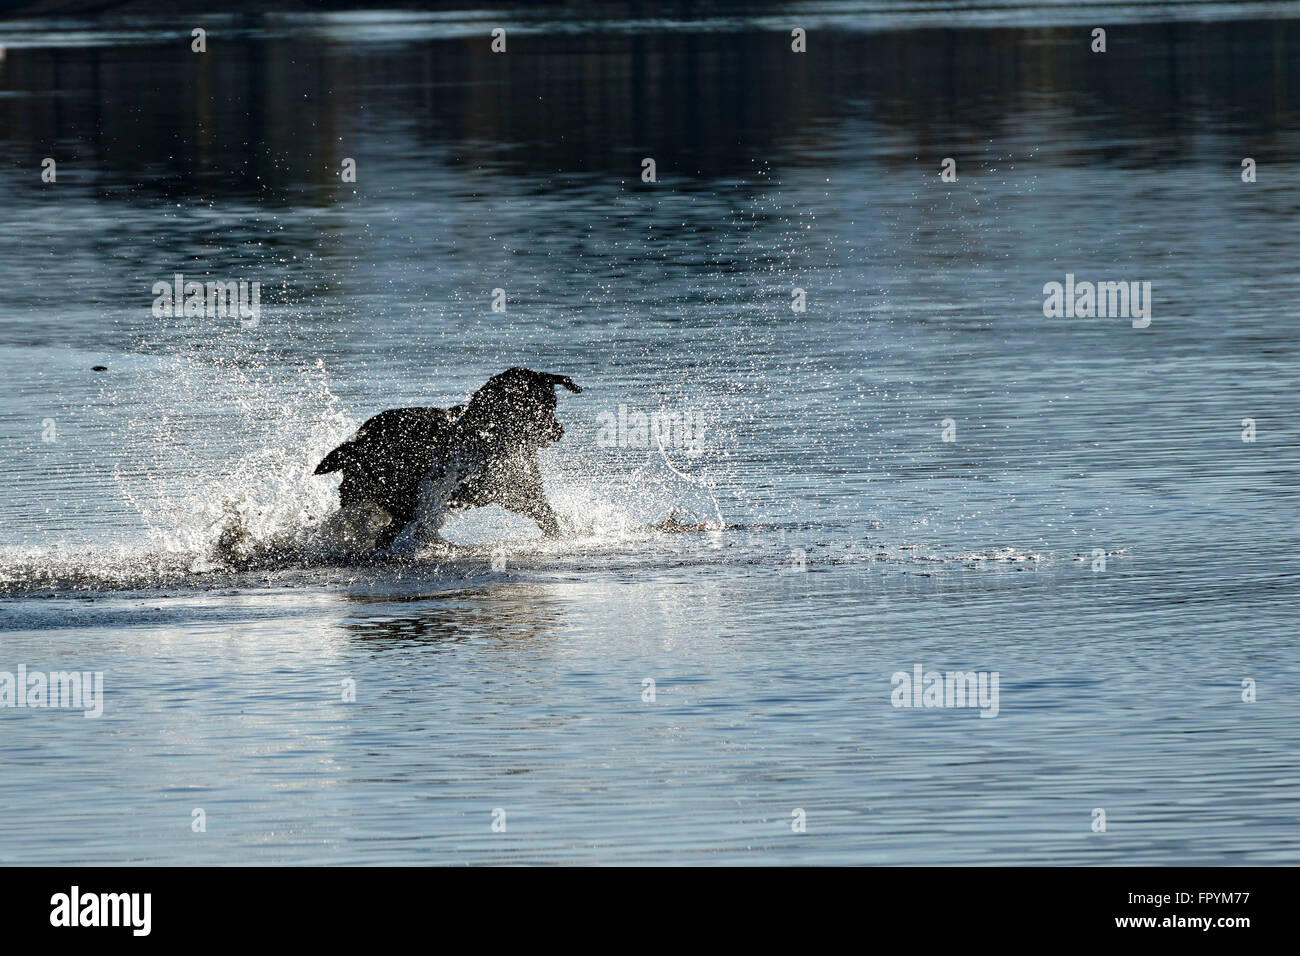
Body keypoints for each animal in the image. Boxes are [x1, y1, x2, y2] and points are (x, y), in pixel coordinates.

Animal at [314, 369, 579, 548]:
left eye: (551, 406)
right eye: (544, 407)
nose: (559, 431)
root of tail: (357, 440)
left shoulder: (516, 488)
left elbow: (545, 514)